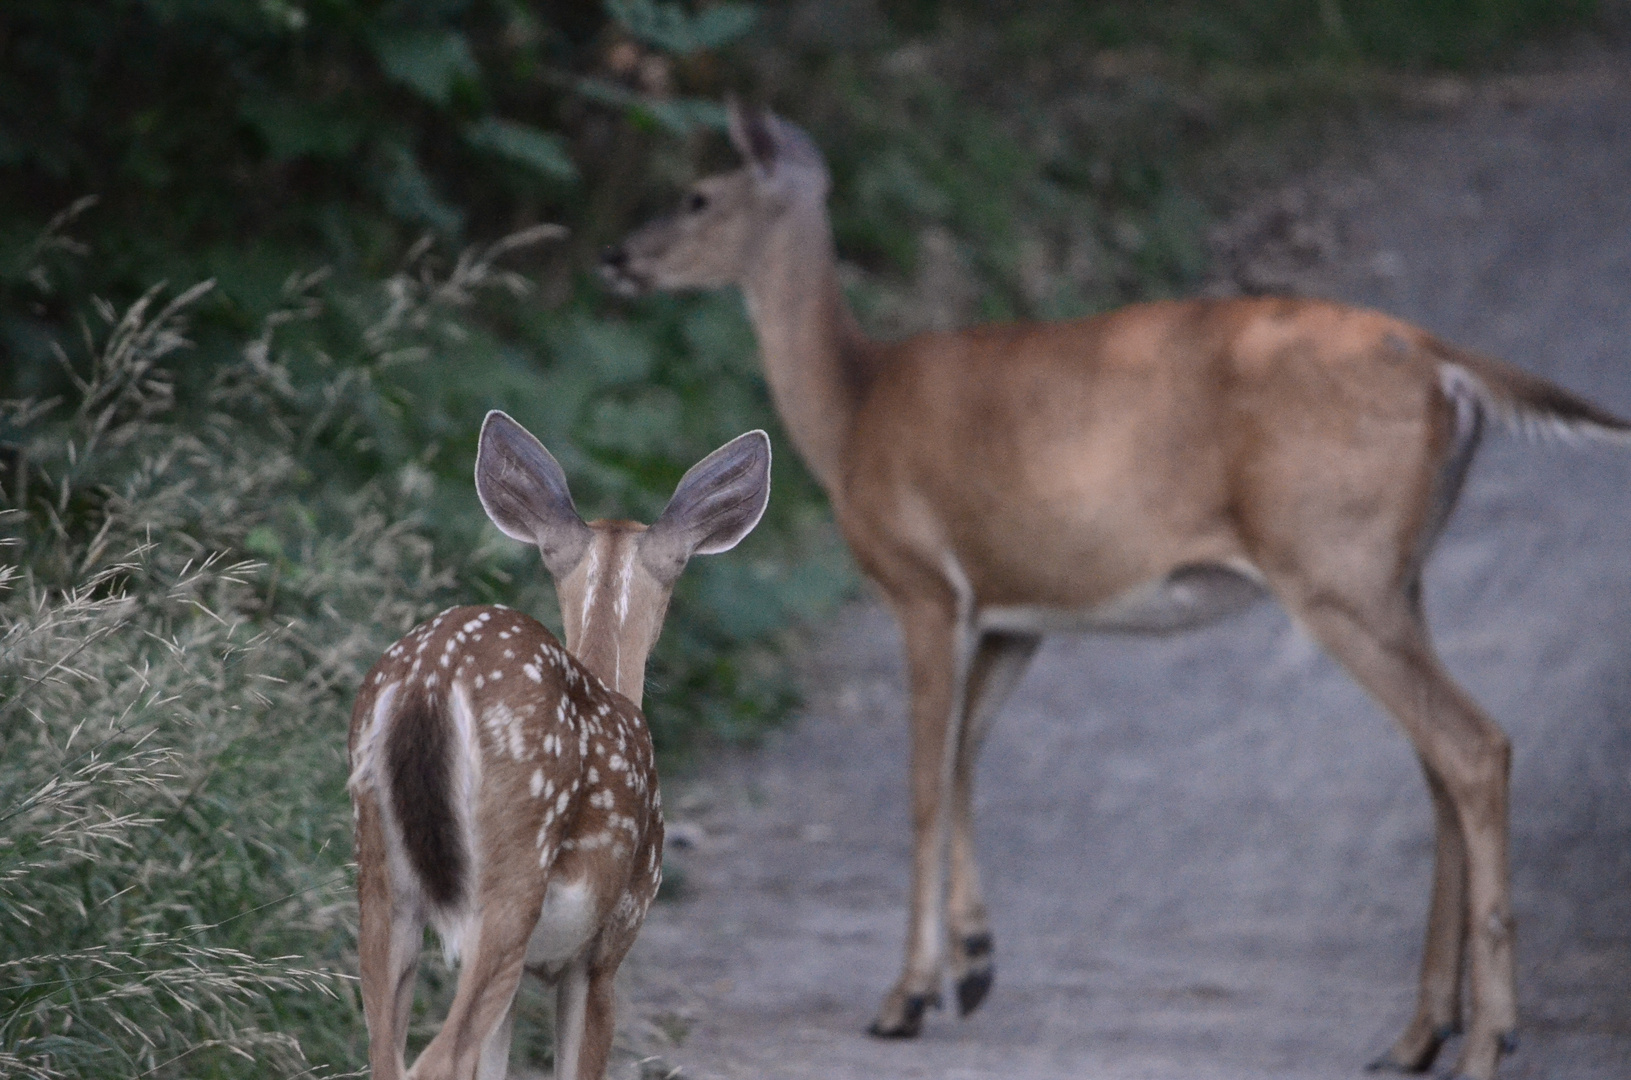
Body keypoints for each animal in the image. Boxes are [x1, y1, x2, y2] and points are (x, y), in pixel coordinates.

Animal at [345, 414, 776, 1080]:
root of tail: (428, 683)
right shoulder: (604, 947)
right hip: (510, 872)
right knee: (439, 1057)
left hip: (380, 878)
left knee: (386, 1050)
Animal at [603, 103, 1631, 1080]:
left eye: (697, 195)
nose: (617, 257)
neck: (852, 406)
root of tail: (1444, 361)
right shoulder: (1016, 612)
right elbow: (964, 760)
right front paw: (974, 964)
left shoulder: (923, 583)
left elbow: (924, 783)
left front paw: (904, 997)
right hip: (1397, 573)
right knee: (1439, 761)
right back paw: (1418, 1035)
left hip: (1333, 564)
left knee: (1472, 745)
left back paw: (1486, 1040)